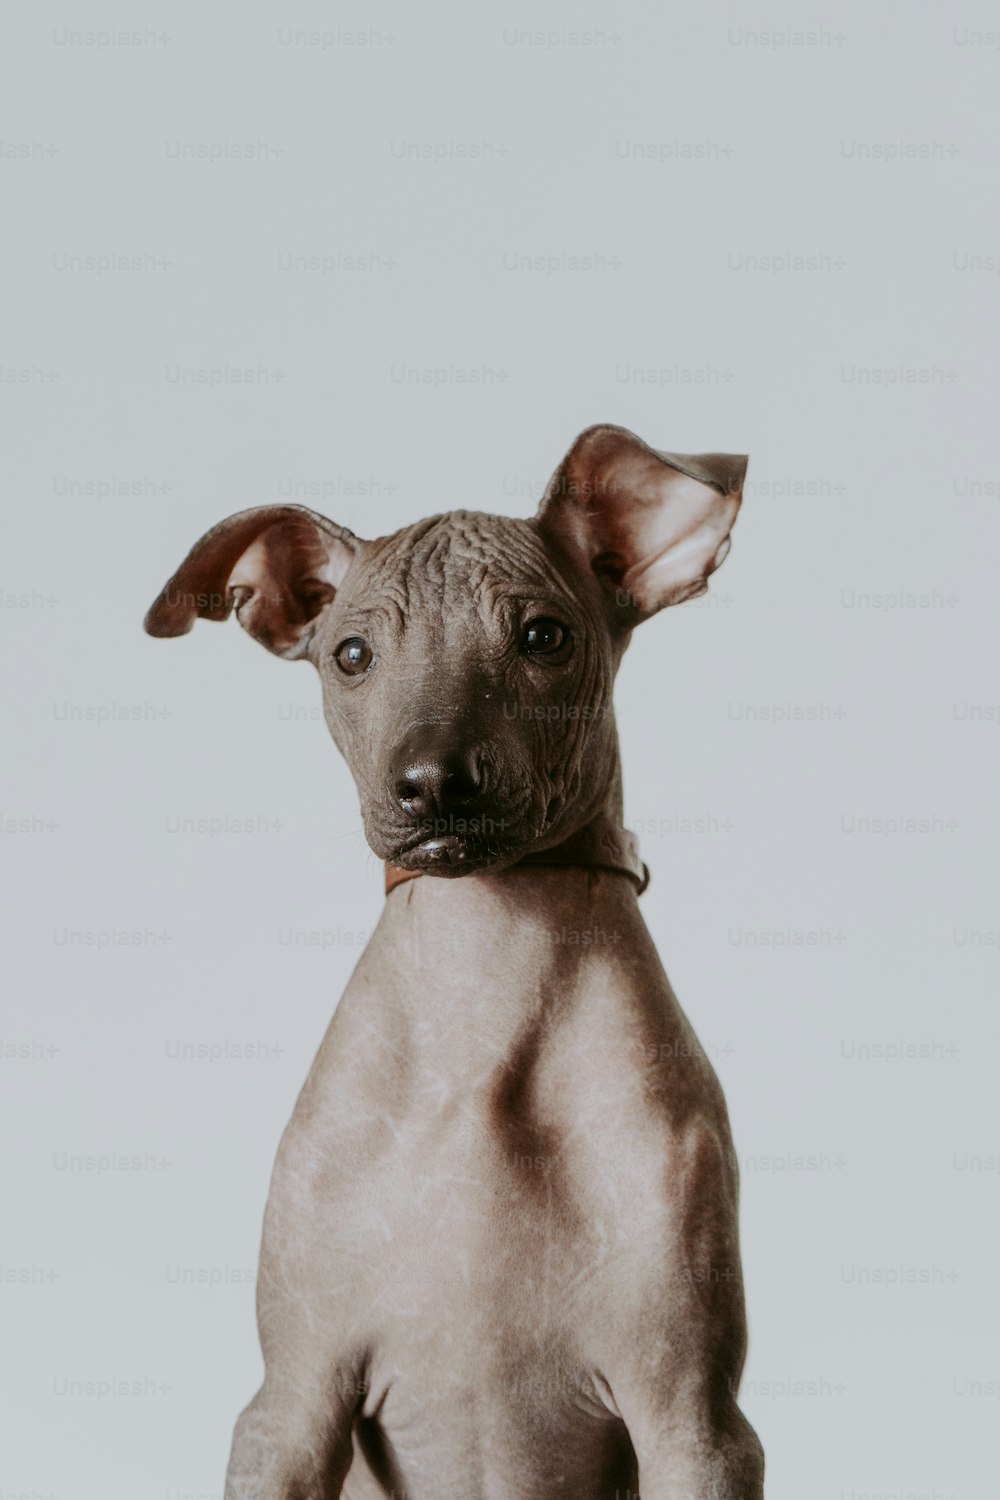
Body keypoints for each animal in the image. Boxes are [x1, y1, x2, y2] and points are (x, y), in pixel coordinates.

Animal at [144, 423, 761, 1500]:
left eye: (544, 638)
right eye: (350, 655)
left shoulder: (694, 1421)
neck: (484, 988)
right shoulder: (287, 1410)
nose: (431, 782)